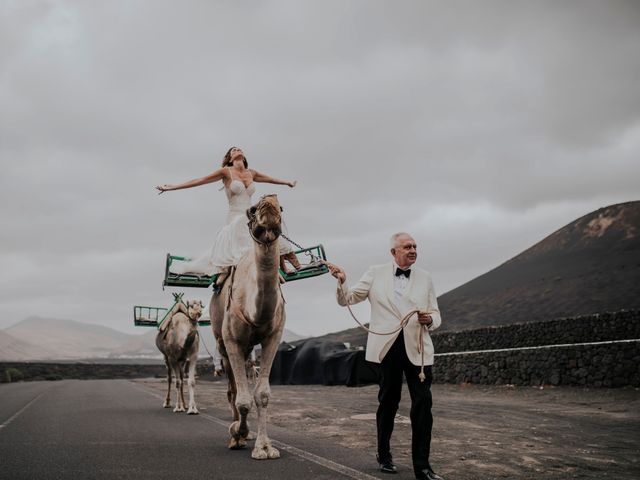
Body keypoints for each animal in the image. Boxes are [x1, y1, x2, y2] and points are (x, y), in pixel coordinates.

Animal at [211, 193, 286, 460]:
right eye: (252, 210)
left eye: (281, 207)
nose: (270, 200)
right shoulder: (232, 339)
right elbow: (242, 398)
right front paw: (238, 434)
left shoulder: (273, 336)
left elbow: (262, 394)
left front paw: (264, 447)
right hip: (223, 343)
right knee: (232, 389)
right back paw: (237, 433)